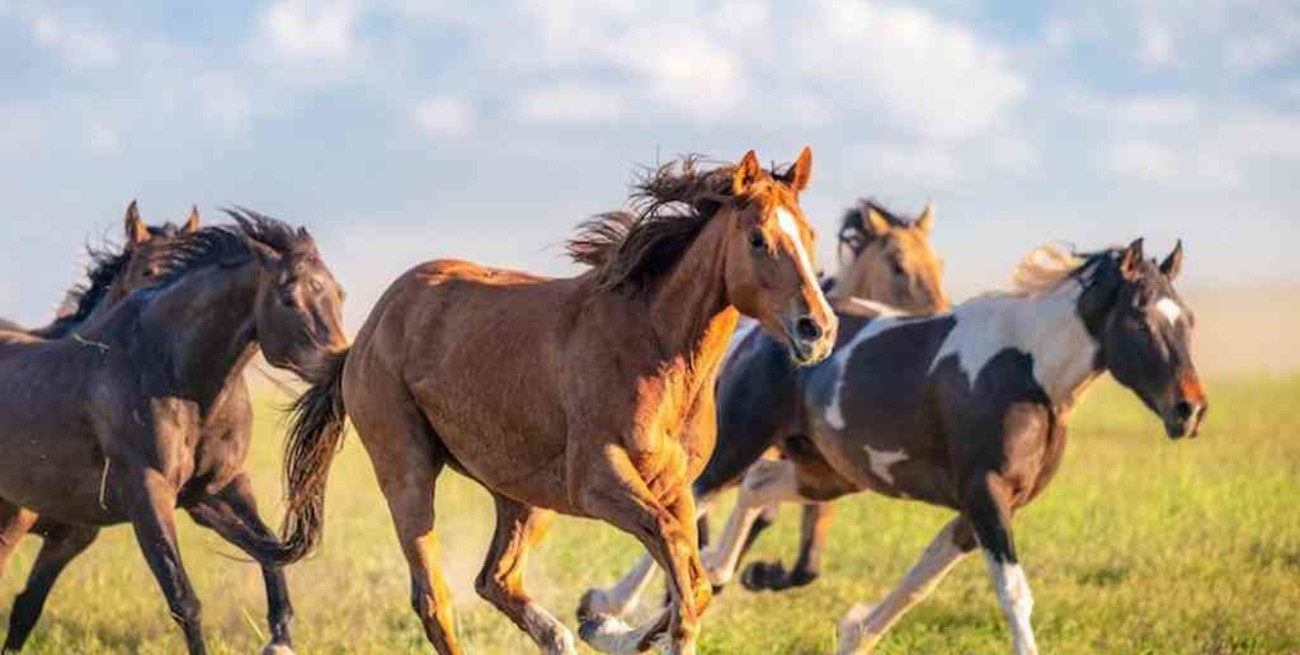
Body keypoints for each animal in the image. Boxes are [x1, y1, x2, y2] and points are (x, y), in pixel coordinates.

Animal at [0, 210, 346, 655]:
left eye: (339, 294)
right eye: (288, 297)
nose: (339, 363)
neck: (171, 371)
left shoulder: (217, 487)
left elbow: (269, 548)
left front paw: (280, 639)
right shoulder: (149, 493)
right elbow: (184, 599)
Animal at [264, 149, 837, 655]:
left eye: (809, 235)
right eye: (758, 238)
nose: (818, 328)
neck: (654, 348)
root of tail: (364, 336)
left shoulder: (674, 486)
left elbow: (691, 580)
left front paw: (605, 624)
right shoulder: (598, 481)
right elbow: (677, 556)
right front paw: (619, 625)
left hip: (524, 497)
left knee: (495, 579)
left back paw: (569, 635)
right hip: (408, 474)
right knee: (435, 600)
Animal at [585, 198, 952, 616]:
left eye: (938, 263)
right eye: (898, 266)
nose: (942, 313)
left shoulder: (818, 469)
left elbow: (804, 561)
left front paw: (758, 574)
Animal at [693, 238, 1206, 655]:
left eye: (1188, 320)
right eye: (1141, 323)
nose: (1190, 409)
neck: (1029, 374)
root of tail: (755, 333)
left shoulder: (981, 509)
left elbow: (919, 583)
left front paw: (853, 631)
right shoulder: (985, 495)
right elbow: (1014, 594)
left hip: (827, 474)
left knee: (756, 488)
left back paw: (718, 573)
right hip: (739, 444)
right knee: (692, 500)